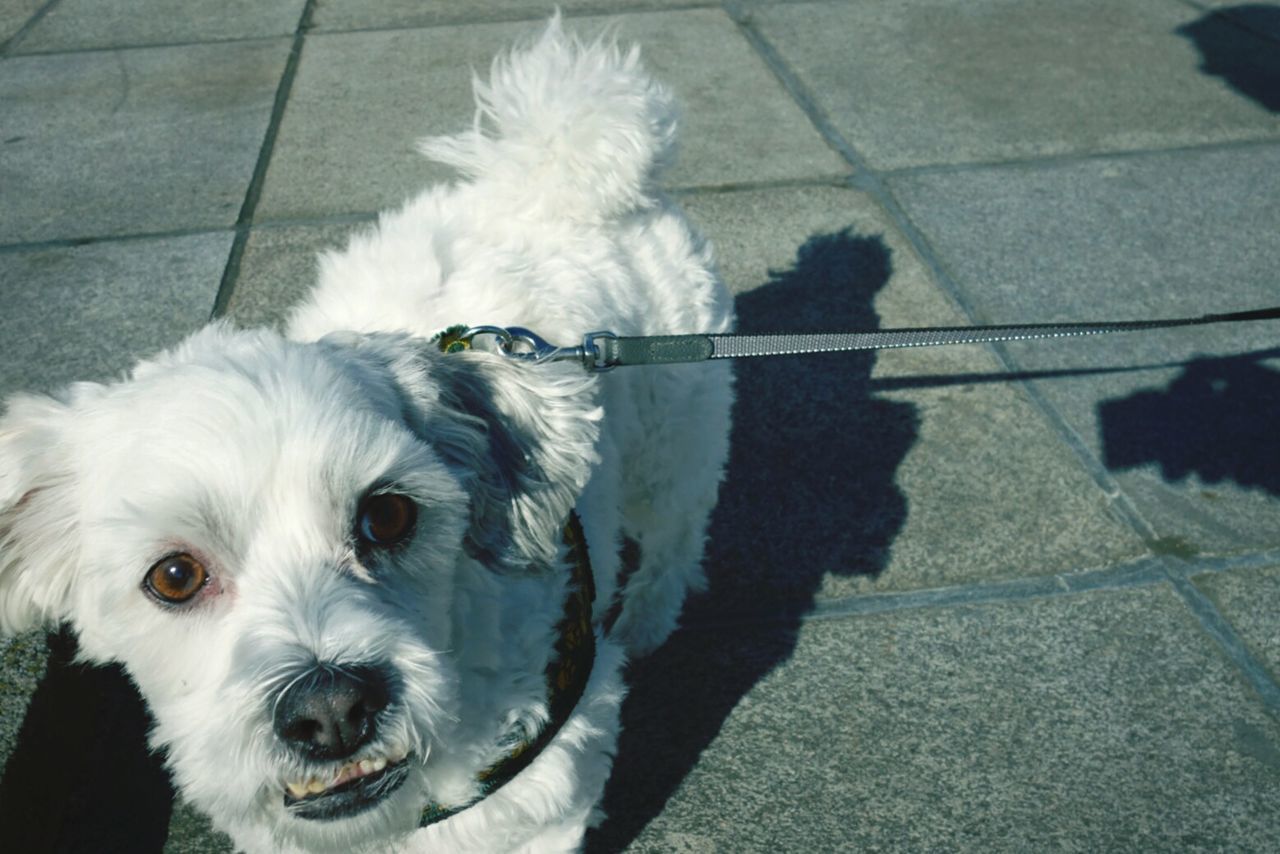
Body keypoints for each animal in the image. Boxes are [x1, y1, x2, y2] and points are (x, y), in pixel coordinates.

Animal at [0, 21, 732, 854]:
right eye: (175, 576)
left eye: (387, 514)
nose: (331, 709)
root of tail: (563, 184)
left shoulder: (554, 791)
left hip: (677, 431)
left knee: (678, 532)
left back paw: (647, 617)